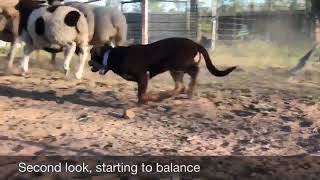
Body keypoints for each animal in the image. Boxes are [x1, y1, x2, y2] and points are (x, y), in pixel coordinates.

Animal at [89, 37, 236, 103]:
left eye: (91, 56)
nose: (89, 62)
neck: (111, 56)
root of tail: (195, 43)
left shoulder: (143, 75)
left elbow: (141, 94)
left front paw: (146, 100)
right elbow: (140, 94)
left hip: (178, 64)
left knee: (195, 71)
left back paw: (188, 92)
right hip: (174, 69)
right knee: (180, 86)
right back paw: (164, 96)